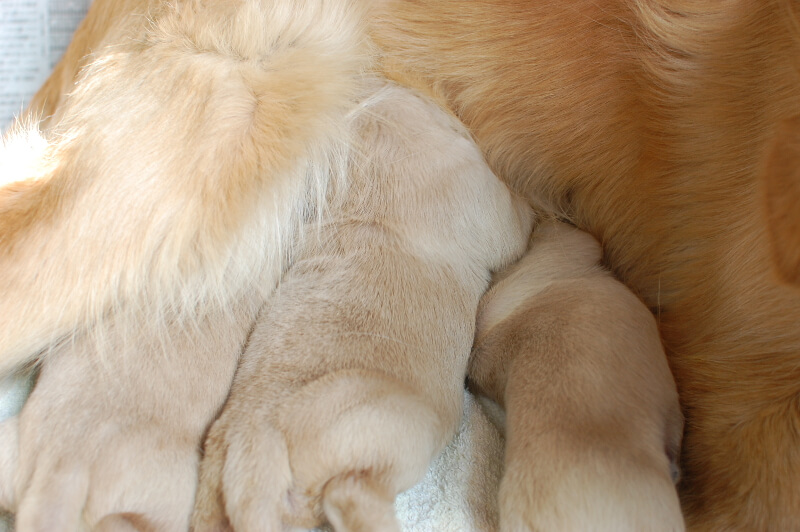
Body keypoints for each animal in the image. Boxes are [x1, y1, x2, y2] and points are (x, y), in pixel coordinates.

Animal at [191, 82, 536, 532]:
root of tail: (251, 453)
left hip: (218, 494)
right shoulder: (480, 197)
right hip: (392, 428)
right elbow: (516, 223)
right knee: (349, 491)